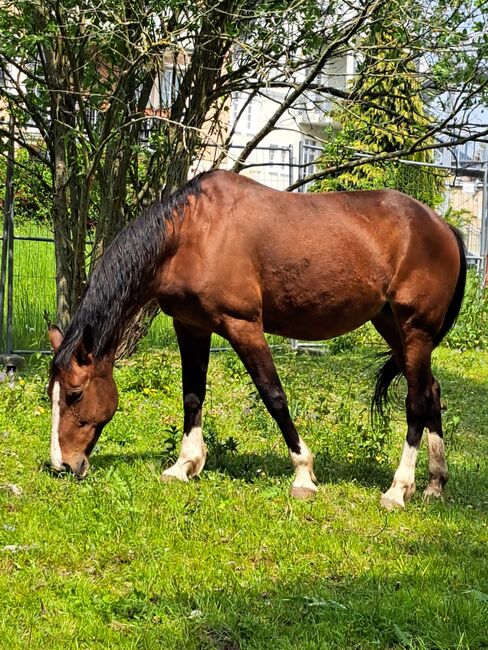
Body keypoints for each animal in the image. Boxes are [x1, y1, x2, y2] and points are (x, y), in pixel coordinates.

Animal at [47, 170, 468, 508]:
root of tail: (443, 227)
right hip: (392, 325)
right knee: (431, 391)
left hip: (415, 329)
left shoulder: (243, 325)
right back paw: (435, 484)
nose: (61, 464)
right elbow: (192, 395)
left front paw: (303, 474)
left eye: (75, 394)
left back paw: (398, 489)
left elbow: (274, 396)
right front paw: (184, 465)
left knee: (416, 402)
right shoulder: (191, 325)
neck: (194, 234)